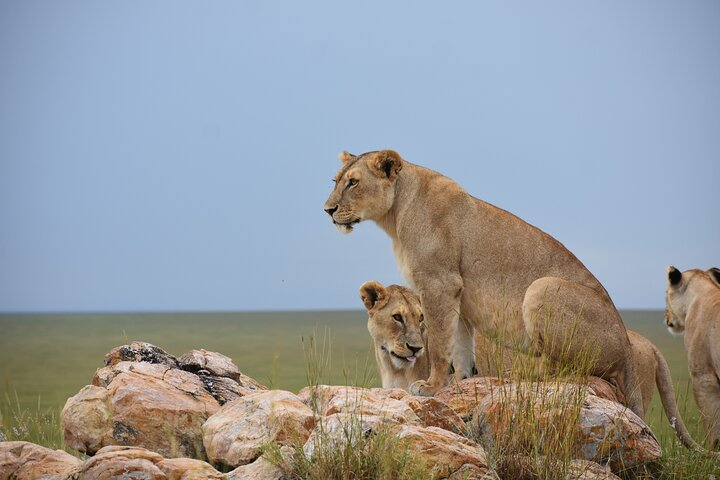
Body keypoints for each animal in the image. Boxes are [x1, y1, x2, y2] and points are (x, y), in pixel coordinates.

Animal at [324, 150, 644, 416]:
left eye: (353, 183)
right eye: (336, 181)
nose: (327, 210)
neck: (395, 214)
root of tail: (628, 350)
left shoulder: (439, 283)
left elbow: (439, 343)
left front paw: (431, 386)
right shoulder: (458, 294)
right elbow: (460, 344)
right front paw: (460, 381)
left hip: (542, 287)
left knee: (564, 370)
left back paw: (521, 375)